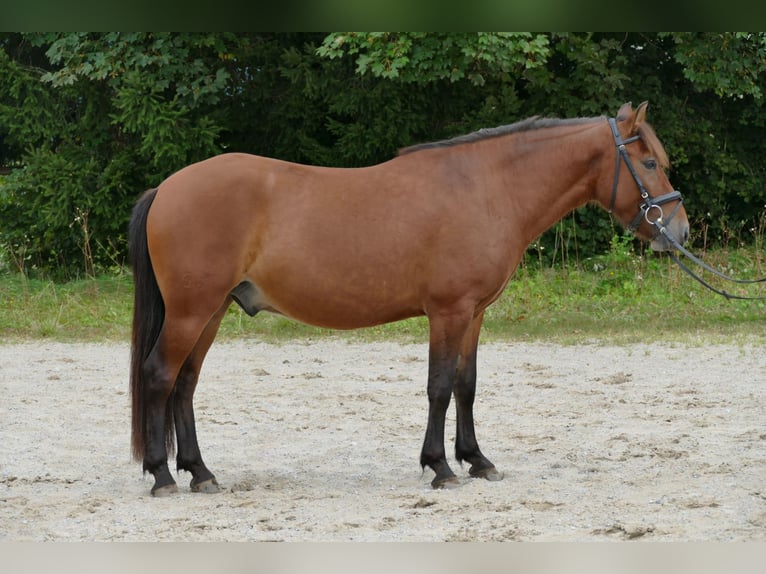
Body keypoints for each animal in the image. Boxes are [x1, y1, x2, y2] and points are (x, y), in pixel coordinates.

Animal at [129, 101, 692, 498]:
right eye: (647, 162)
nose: (680, 231)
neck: (485, 188)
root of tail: (167, 188)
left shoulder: (474, 314)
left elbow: (466, 386)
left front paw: (477, 460)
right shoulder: (448, 312)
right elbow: (438, 387)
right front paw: (440, 466)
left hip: (212, 311)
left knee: (185, 383)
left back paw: (200, 472)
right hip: (192, 311)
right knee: (159, 375)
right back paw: (162, 476)